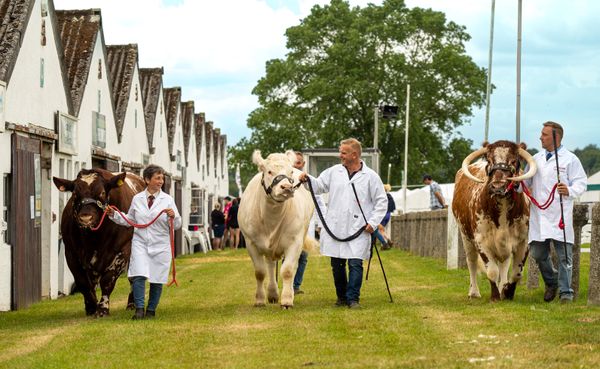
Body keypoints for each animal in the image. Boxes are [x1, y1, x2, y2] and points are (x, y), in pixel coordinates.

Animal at [53, 168, 145, 314]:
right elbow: (83, 282)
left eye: (102, 192)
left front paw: (102, 309)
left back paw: (132, 304)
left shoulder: (122, 251)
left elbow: (107, 281)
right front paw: (91, 306)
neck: (94, 239)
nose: (86, 218)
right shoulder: (71, 253)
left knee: (134, 278)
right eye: (75, 193)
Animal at [238, 150, 316, 308]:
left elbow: (287, 270)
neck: (271, 218)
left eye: (290, 171)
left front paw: (287, 300)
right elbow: (260, 272)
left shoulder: (295, 241)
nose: (286, 187)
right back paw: (272, 293)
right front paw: (260, 299)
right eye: (269, 171)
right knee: (270, 264)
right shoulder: (250, 243)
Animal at [452, 140, 536, 300]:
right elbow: (491, 271)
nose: (498, 186)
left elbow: (516, 273)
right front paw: (495, 295)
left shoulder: (523, 241)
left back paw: (502, 285)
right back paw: (474, 292)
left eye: (513, 161)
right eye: (489, 161)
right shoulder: (481, 241)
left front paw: (507, 292)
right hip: (465, 236)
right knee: (472, 262)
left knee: (504, 264)